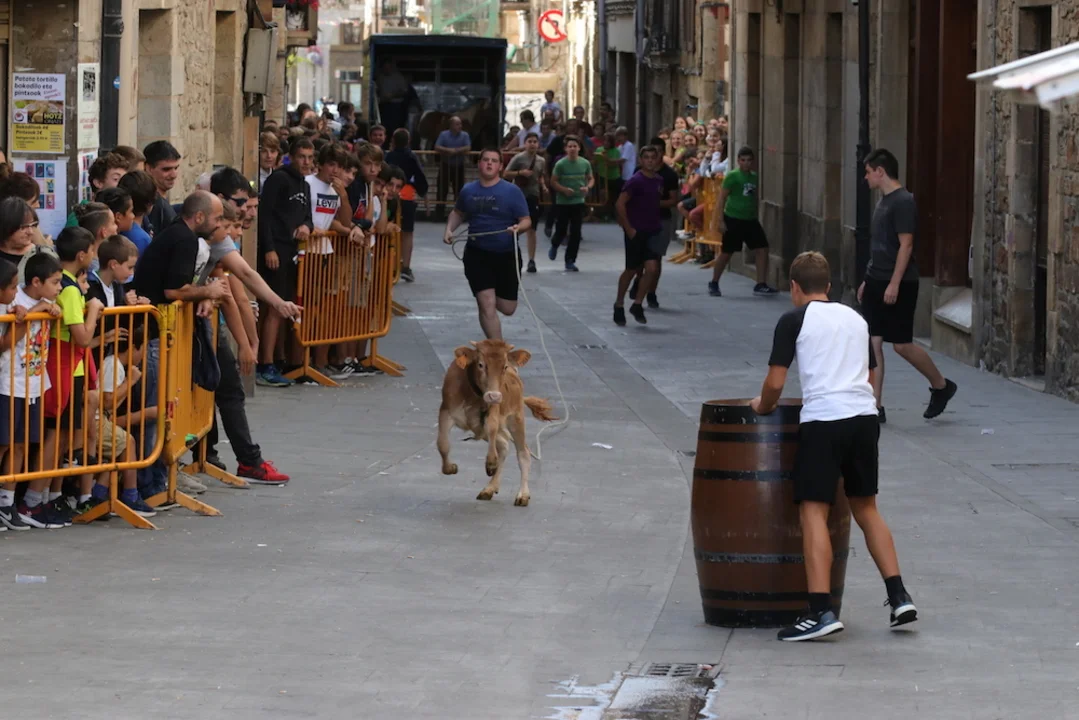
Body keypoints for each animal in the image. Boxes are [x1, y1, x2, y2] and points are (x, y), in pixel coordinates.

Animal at [438, 340, 558, 507]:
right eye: (480, 364)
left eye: (505, 366)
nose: (494, 396)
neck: (471, 394)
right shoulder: (446, 412)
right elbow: (442, 444)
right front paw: (450, 467)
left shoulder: (493, 411)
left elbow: (492, 428)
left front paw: (491, 463)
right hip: (483, 427)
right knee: (504, 445)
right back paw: (489, 488)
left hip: (516, 418)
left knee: (523, 453)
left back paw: (522, 494)